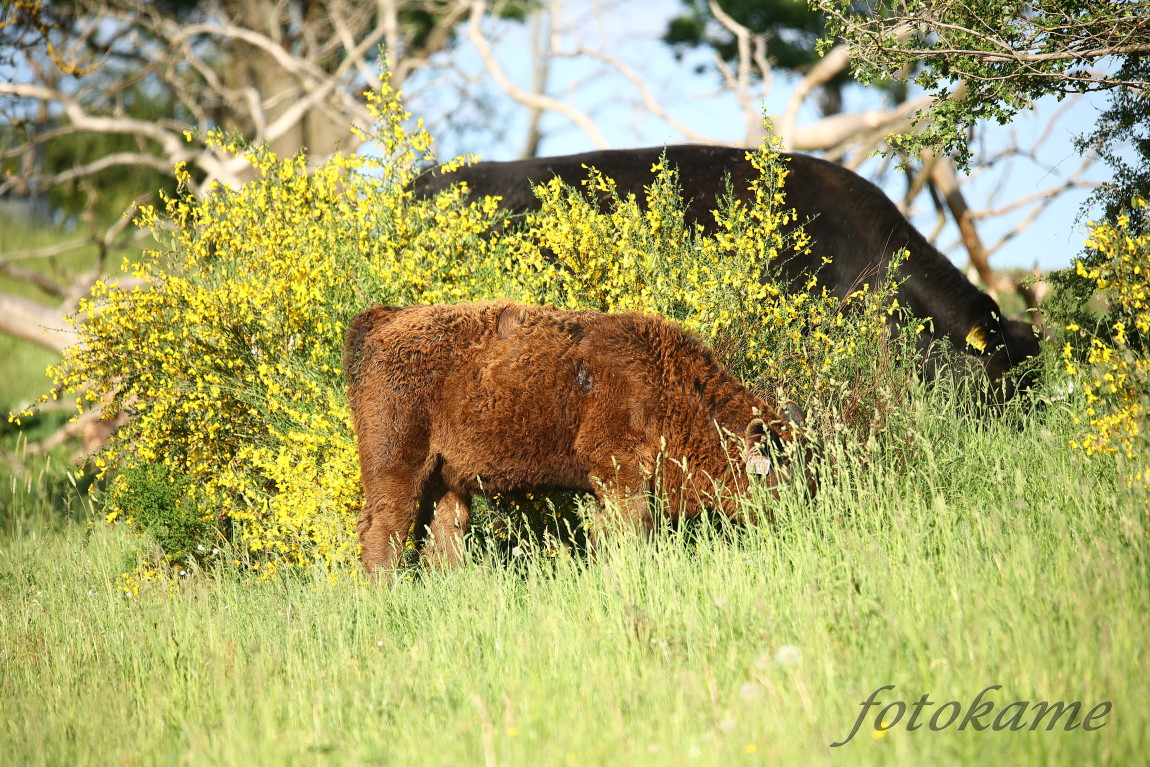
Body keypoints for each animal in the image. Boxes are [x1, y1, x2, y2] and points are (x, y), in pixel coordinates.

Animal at [345, 303, 805, 572]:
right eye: (784, 476)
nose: (805, 520)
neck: (666, 385)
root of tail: (382, 319)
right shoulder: (621, 475)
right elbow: (632, 530)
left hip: (448, 476)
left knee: (444, 531)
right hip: (396, 461)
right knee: (385, 526)